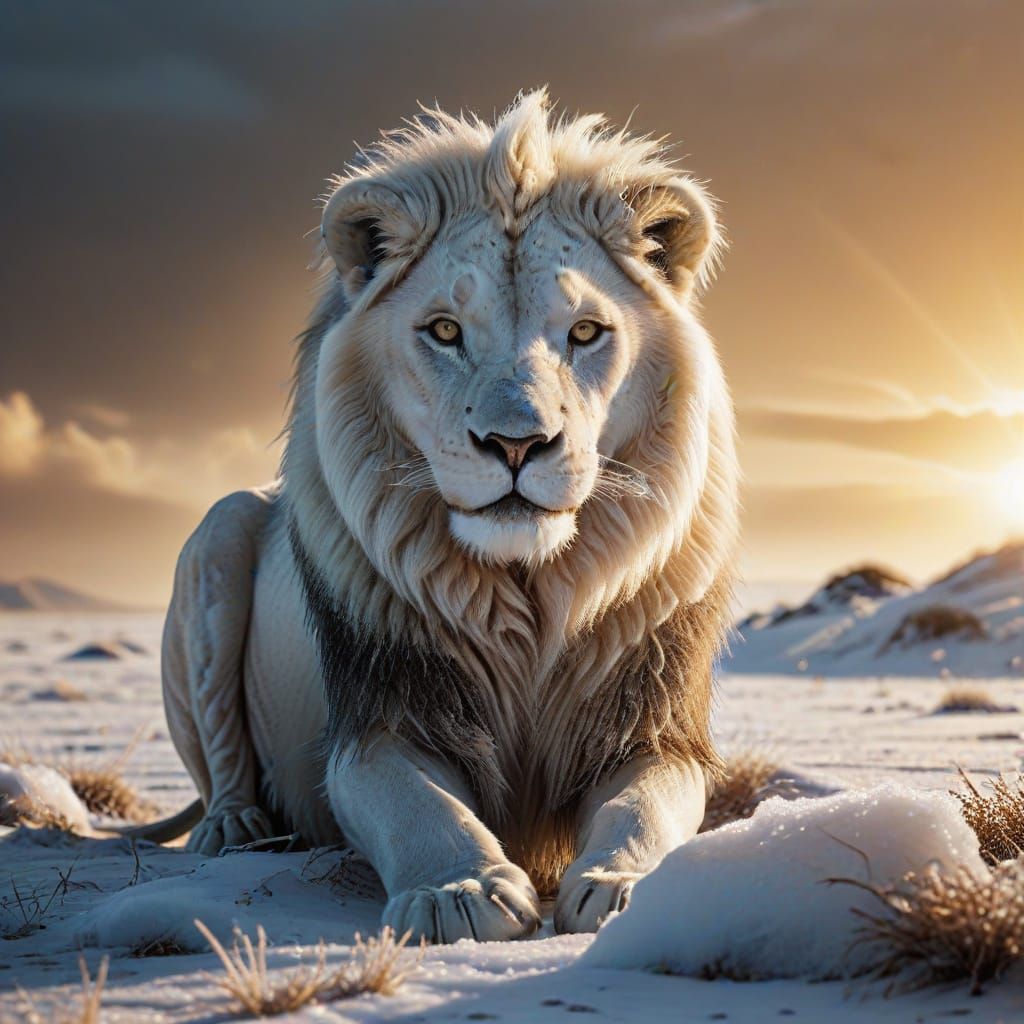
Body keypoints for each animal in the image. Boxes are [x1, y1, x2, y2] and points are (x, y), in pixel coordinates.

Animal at [135, 90, 740, 943]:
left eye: (586, 332)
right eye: (445, 331)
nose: (517, 443)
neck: (529, 591)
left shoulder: (651, 721)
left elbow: (644, 807)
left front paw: (625, 886)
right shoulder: (380, 717)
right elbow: (417, 806)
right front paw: (463, 893)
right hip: (217, 538)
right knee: (220, 760)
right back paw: (236, 830)